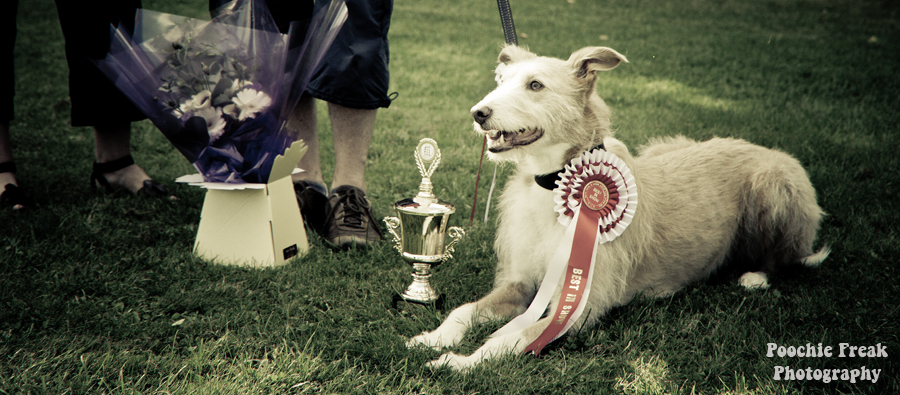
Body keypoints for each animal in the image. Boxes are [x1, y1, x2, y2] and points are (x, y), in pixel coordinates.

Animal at [408, 45, 828, 372]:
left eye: (535, 85)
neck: (556, 184)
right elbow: (464, 310)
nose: (478, 113)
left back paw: (756, 275)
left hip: (775, 185)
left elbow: (511, 338)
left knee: (785, 257)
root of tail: (759, 147)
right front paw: (433, 337)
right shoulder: (521, 283)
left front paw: (462, 362)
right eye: (500, 81)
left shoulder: (580, 304)